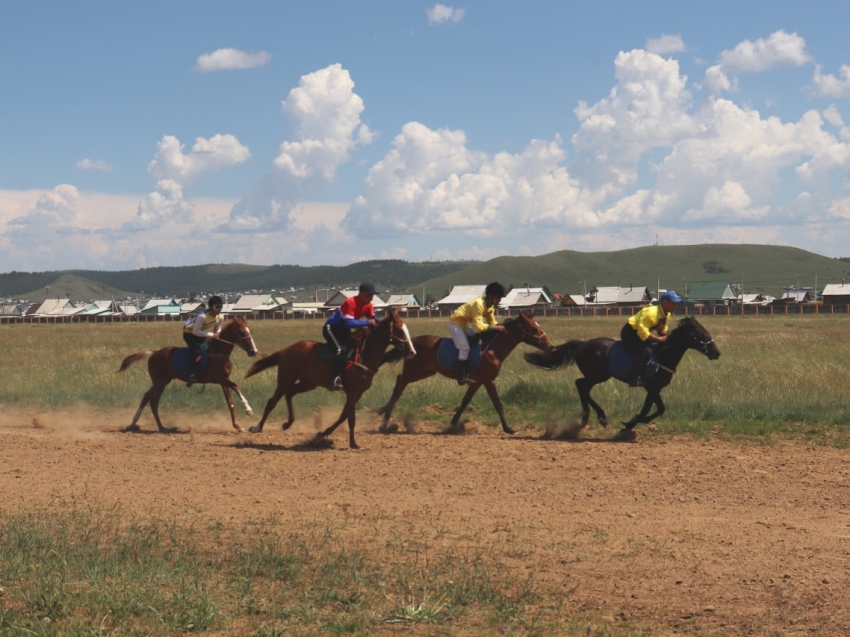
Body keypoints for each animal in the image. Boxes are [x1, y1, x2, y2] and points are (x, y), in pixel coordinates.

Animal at [117, 316, 258, 434]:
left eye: (250, 330)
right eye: (242, 332)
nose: (254, 351)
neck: (219, 352)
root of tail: (153, 352)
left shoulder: (224, 380)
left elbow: (230, 403)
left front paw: (238, 426)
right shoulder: (218, 378)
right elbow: (236, 387)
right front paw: (249, 410)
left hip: (163, 380)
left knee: (147, 397)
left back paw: (138, 423)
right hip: (160, 382)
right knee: (153, 401)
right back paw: (161, 428)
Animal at [243, 306, 416, 448]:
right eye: (399, 330)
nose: (412, 351)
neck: (364, 355)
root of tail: (286, 350)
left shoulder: (357, 393)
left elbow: (343, 416)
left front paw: (321, 434)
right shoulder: (351, 391)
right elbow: (351, 418)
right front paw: (353, 443)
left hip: (308, 382)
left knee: (290, 393)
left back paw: (288, 423)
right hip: (285, 379)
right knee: (272, 402)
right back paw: (257, 427)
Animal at [376, 310, 548, 438]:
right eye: (533, 328)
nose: (549, 345)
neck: (492, 349)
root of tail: (410, 344)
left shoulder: (478, 381)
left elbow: (465, 401)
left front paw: (453, 424)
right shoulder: (488, 380)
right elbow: (498, 403)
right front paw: (508, 428)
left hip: (424, 372)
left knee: (399, 381)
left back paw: (383, 413)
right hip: (413, 371)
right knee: (399, 386)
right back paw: (384, 422)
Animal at [524, 314, 716, 434]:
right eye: (701, 334)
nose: (717, 352)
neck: (664, 354)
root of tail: (581, 344)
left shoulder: (653, 389)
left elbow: (656, 408)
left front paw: (633, 423)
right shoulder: (652, 387)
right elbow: (657, 408)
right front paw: (631, 423)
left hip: (597, 376)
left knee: (582, 387)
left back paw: (589, 416)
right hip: (597, 375)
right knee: (581, 385)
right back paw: (598, 416)